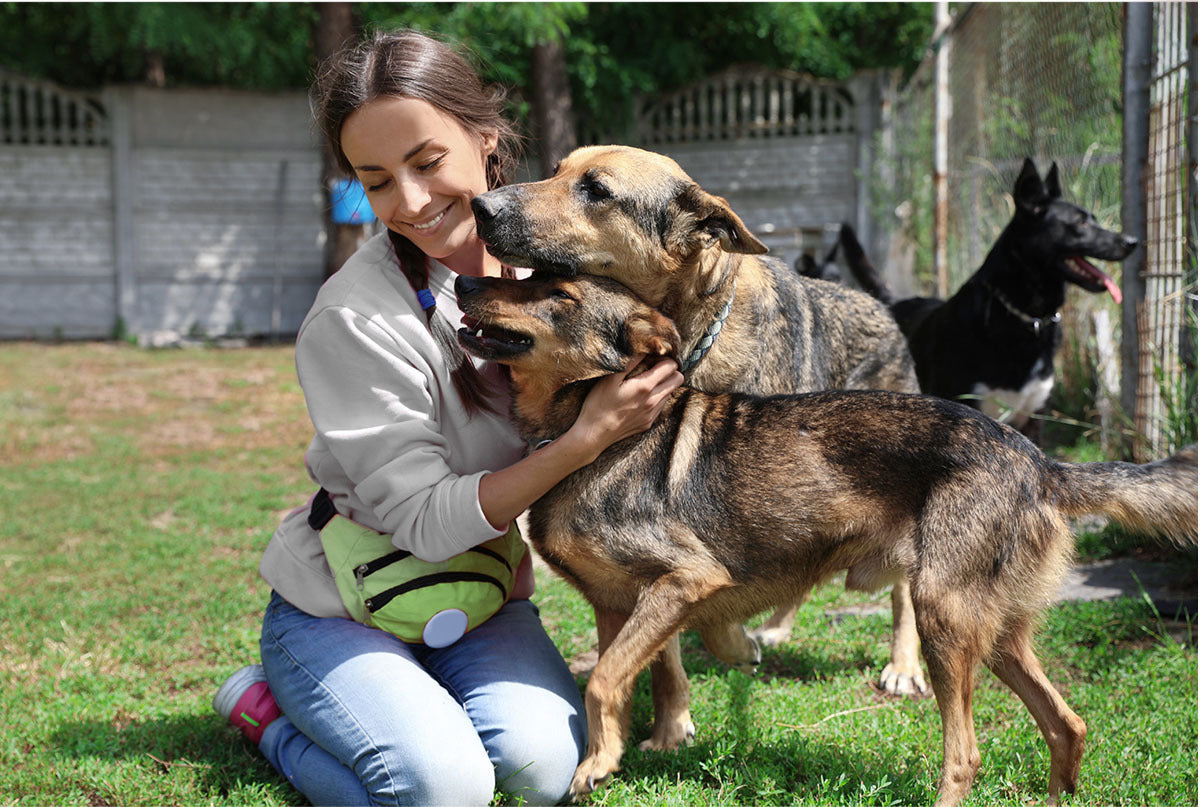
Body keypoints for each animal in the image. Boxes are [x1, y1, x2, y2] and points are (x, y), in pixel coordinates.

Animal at [453, 272, 1195, 806]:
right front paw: (622, 750)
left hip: (941, 618)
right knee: (1067, 723)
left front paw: (598, 763)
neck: (588, 428)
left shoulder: (688, 578)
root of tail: (1041, 463)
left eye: (559, 293)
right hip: (996, 635)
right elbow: (639, 675)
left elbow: (605, 680)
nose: (461, 282)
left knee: (966, 755)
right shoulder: (619, 604)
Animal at [470, 145, 926, 749]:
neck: (688, 343)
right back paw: (774, 628)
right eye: (558, 169)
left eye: (596, 190)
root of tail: (879, 306)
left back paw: (903, 664)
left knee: (899, 590)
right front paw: (673, 721)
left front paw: (727, 643)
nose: (480, 206)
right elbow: (664, 652)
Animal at [840, 154, 1137, 437]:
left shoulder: (1033, 418)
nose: (1132, 242)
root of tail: (894, 302)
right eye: (1080, 223)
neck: (1023, 318)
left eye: (1093, 219)